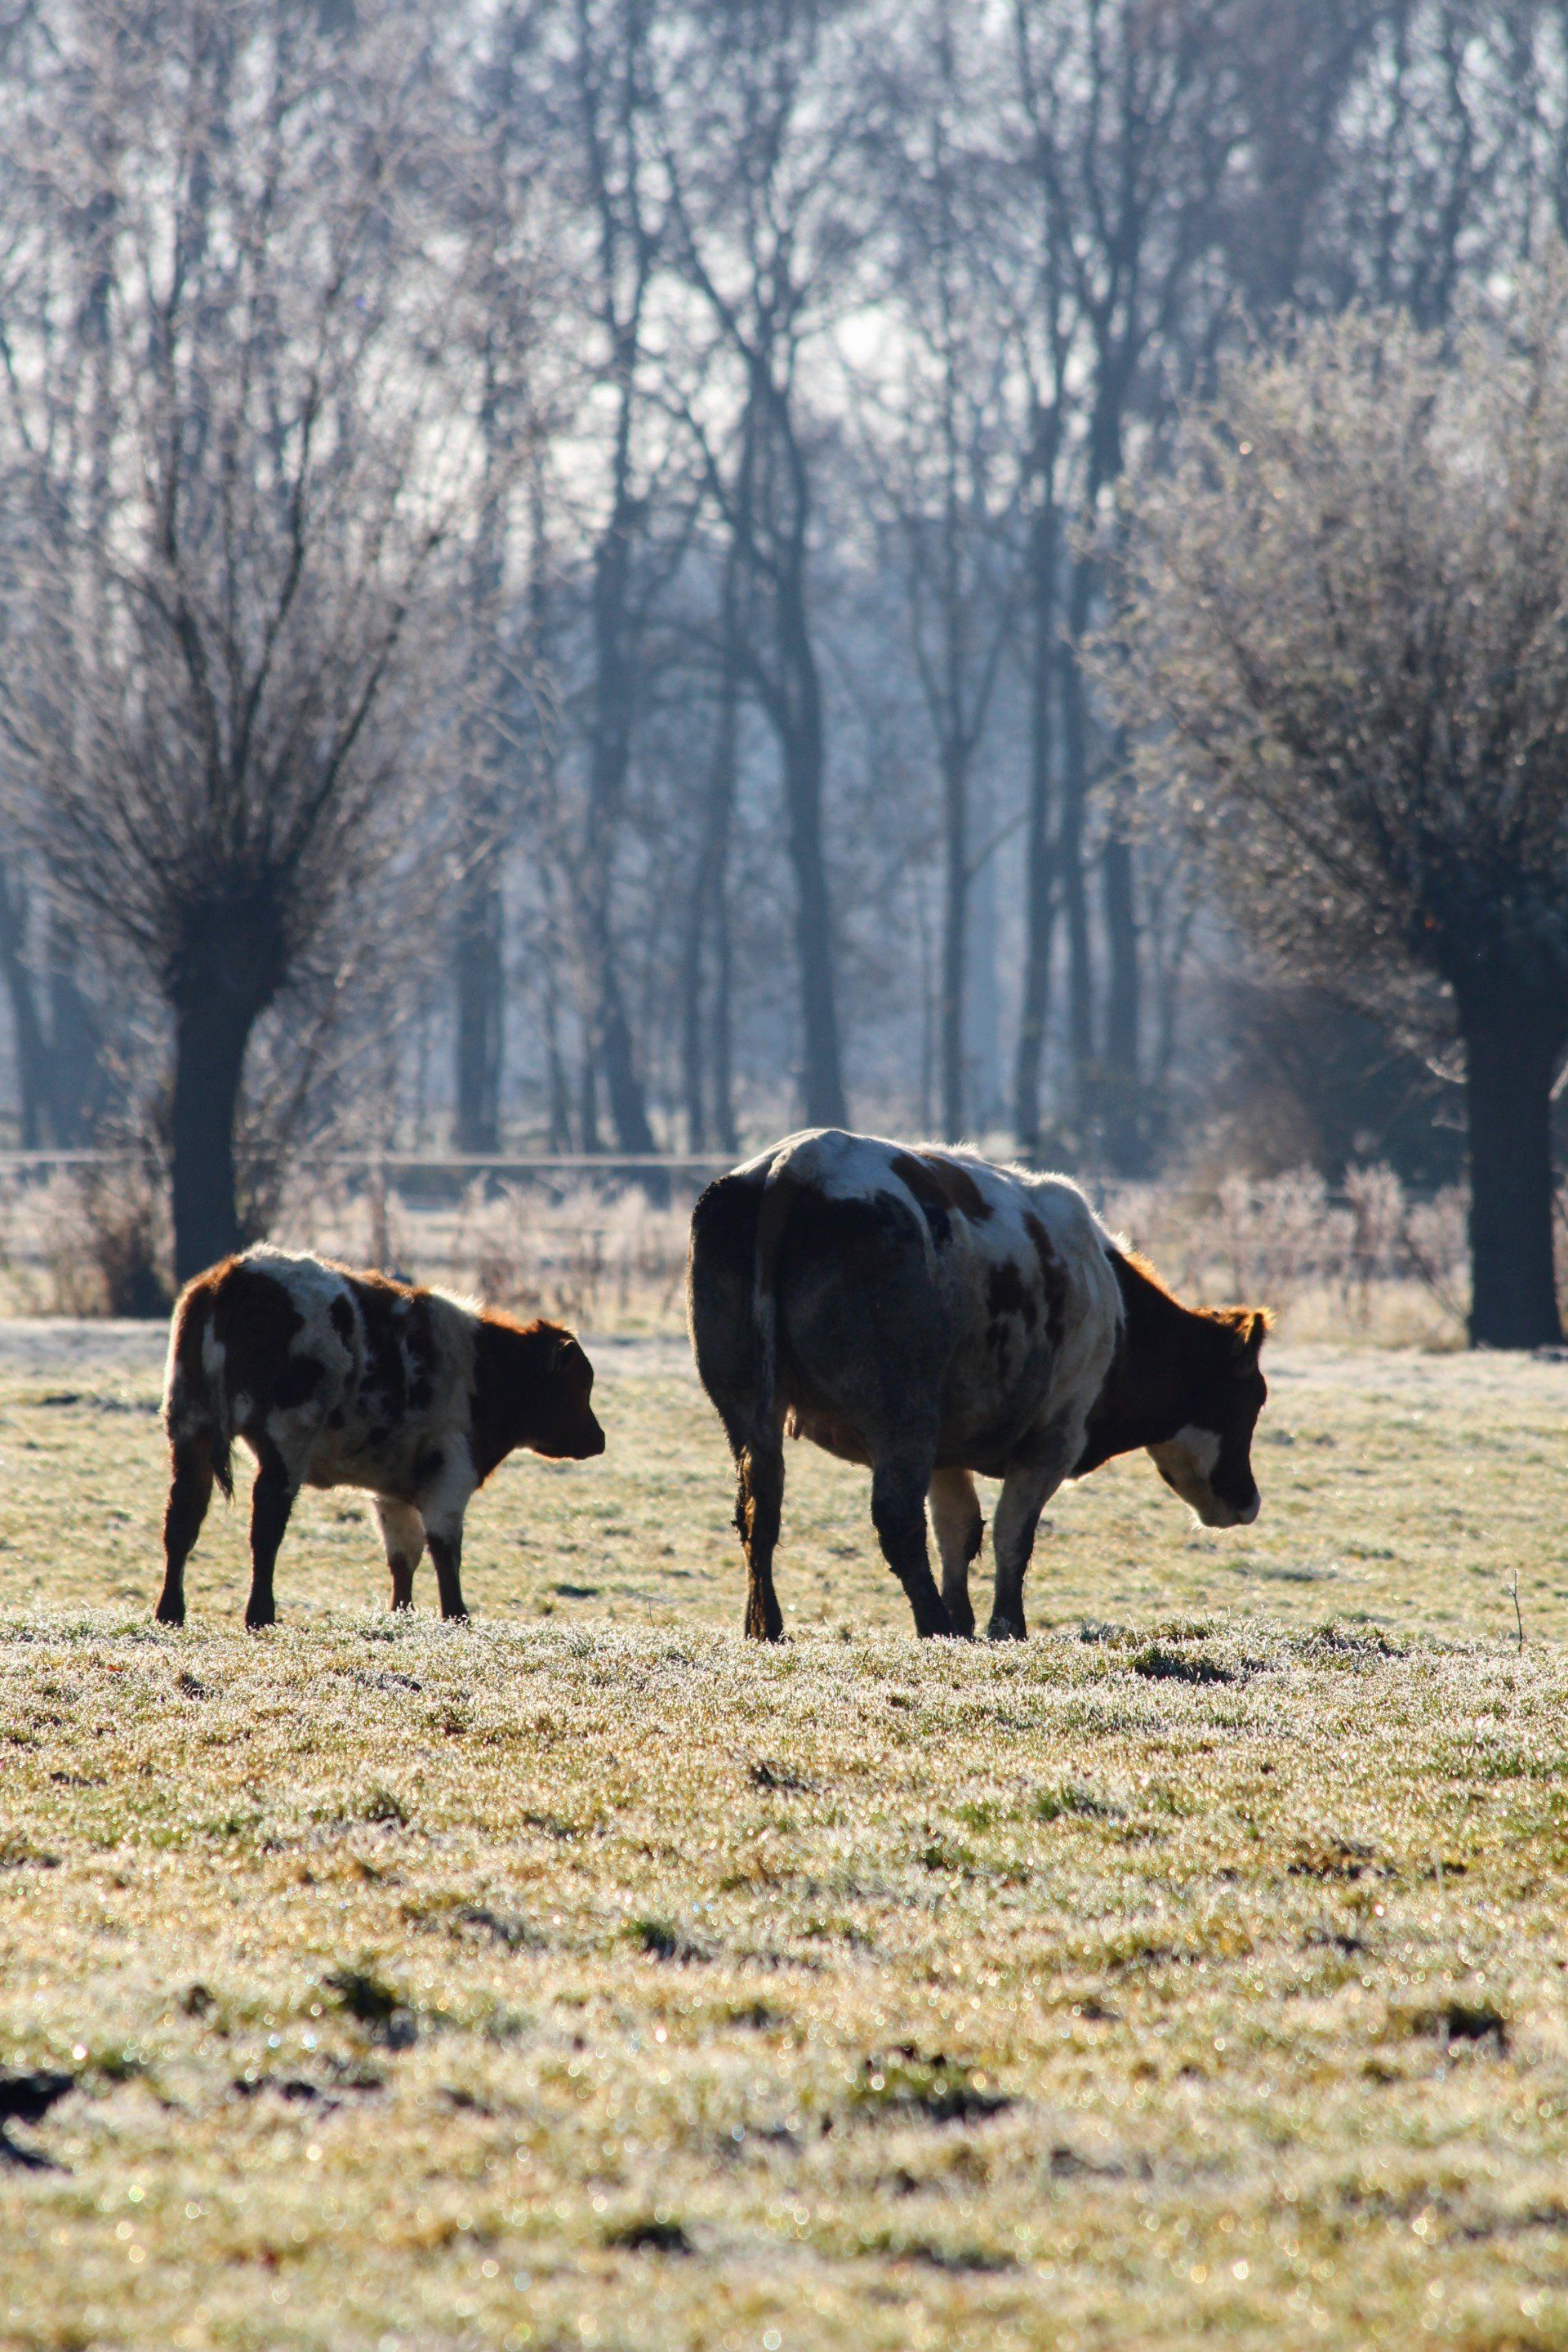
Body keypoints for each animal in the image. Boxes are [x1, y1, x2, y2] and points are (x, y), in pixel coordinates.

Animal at [156, 1246, 605, 1629]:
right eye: (579, 1386)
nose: (598, 1439)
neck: (484, 1368)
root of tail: (234, 1276)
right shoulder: (450, 1474)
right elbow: (445, 1550)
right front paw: (456, 1616)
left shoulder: (392, 1492)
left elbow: (403, 1557)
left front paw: (401, 1614)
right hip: (286, 1444)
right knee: (266, 1527)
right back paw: (260, 1614)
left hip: (190, 1430)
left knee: (183, 1518)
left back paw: (171, 1611)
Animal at [688, 1130, 1269, 1642]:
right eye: (1252, 1399)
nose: (1248, 1502)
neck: (1116, 1309)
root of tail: (797, 1163)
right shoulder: (1052, 1439)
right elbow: (1013, 1534)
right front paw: (1005, 1627)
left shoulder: (948, 1450)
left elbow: (959, 1530)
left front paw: (965, 1622)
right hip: (901, 1415)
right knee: (896, 1520)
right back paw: (930, 1623)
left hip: (746, 1406)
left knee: (759, 1508)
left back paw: (766, 1625)